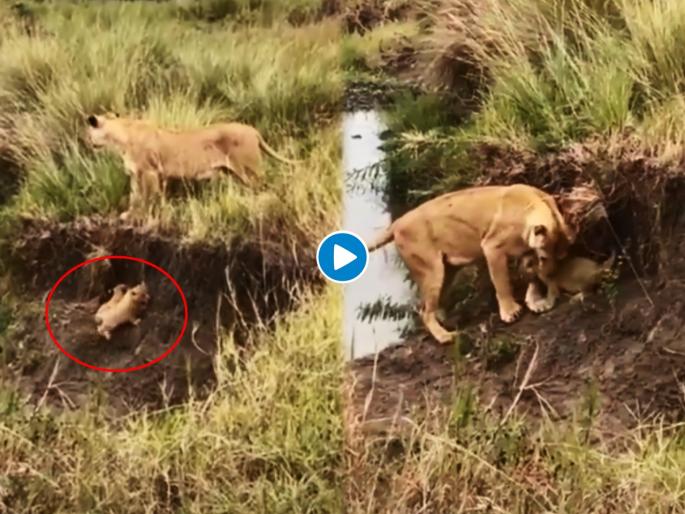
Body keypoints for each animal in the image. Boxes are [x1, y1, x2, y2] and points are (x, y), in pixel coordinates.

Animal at [85, 112, 301, 220]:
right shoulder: (136, 174)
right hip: (236, 173)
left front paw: (144, 216)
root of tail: (253, 130)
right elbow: (135, 197)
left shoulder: (149, 172)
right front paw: (129, 214)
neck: (119, 138)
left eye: (88, 132)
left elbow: (147, 197)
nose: (87, 142)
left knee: (267, 186)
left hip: (250, 170)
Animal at [367, 184, 575, 344]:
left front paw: (536, 300)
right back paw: (445, 336)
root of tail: (397, 222)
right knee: (424, 311)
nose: (552, 273)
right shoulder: (492, 248)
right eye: (544, 258)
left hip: (447, 271)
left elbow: (531, 279)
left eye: (561, 257)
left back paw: (447, 322)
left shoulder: (525, 253)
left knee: (431, 305)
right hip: (431, 271)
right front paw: (510, 311)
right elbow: (502, 283)